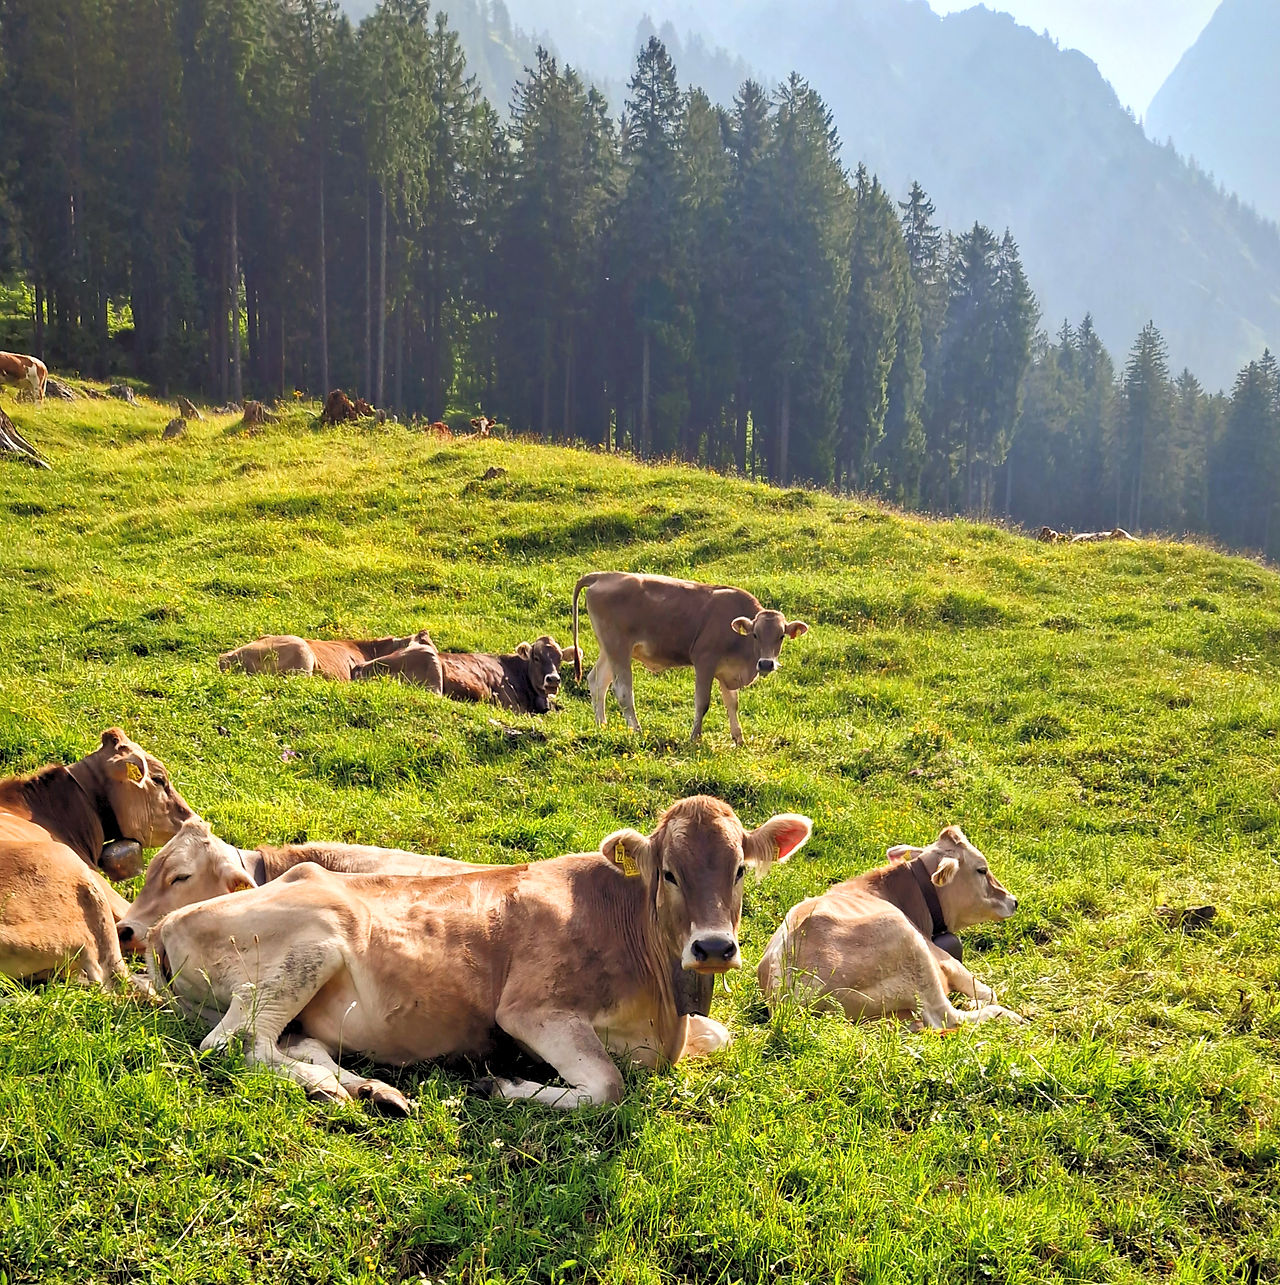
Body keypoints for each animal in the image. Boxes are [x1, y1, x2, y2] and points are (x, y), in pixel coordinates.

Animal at [571, 572, 809, 743]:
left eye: (781, 636)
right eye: (755, 635)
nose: (766, 663)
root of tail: (604, 575)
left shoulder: (727, 672)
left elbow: (732, 704)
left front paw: (739, 739)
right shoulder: (704, 661)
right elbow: (702, 702)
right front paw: (695, 738)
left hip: (609, 649)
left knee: (597, 681)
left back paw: (601, 726)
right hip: (618, 647)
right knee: (622, 690)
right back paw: (637, 731)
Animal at [757, 826, 1022, 1030]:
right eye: (982, 869)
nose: (1014, 901)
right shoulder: (945, 959)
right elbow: (988, 991)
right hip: (910, 946)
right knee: (947, 1018)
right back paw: (1005, 1015)